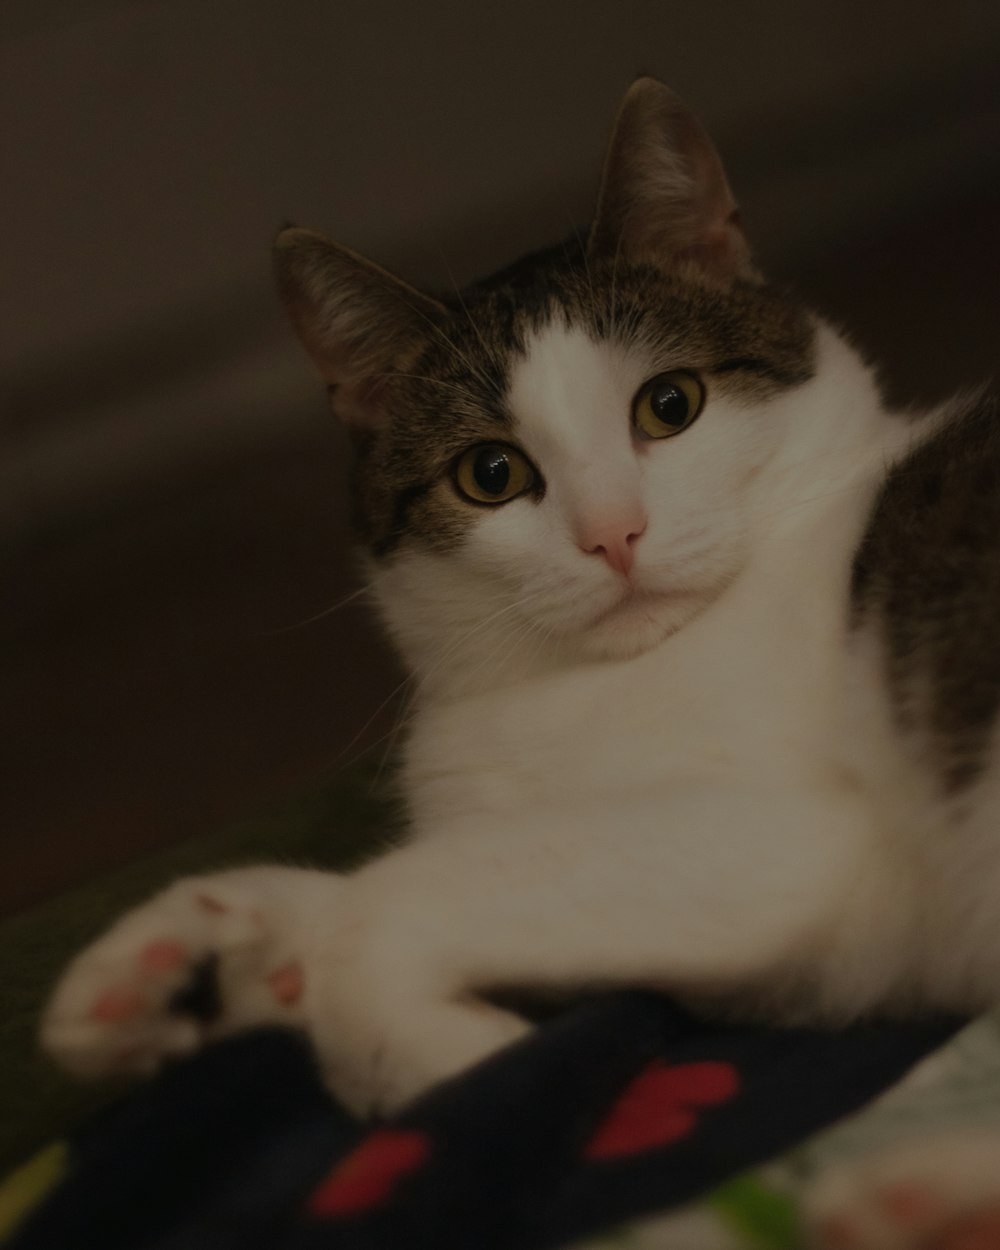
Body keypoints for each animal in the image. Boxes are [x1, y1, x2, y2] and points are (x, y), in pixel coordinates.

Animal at [39, 78, 1000, 1140]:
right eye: (491, 475)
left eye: (671, 405)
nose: (613, 534)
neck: (539, 692)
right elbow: (376, 888)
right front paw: (182, 960)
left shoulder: (784, 838)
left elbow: (381, 911)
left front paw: (456, 1068)